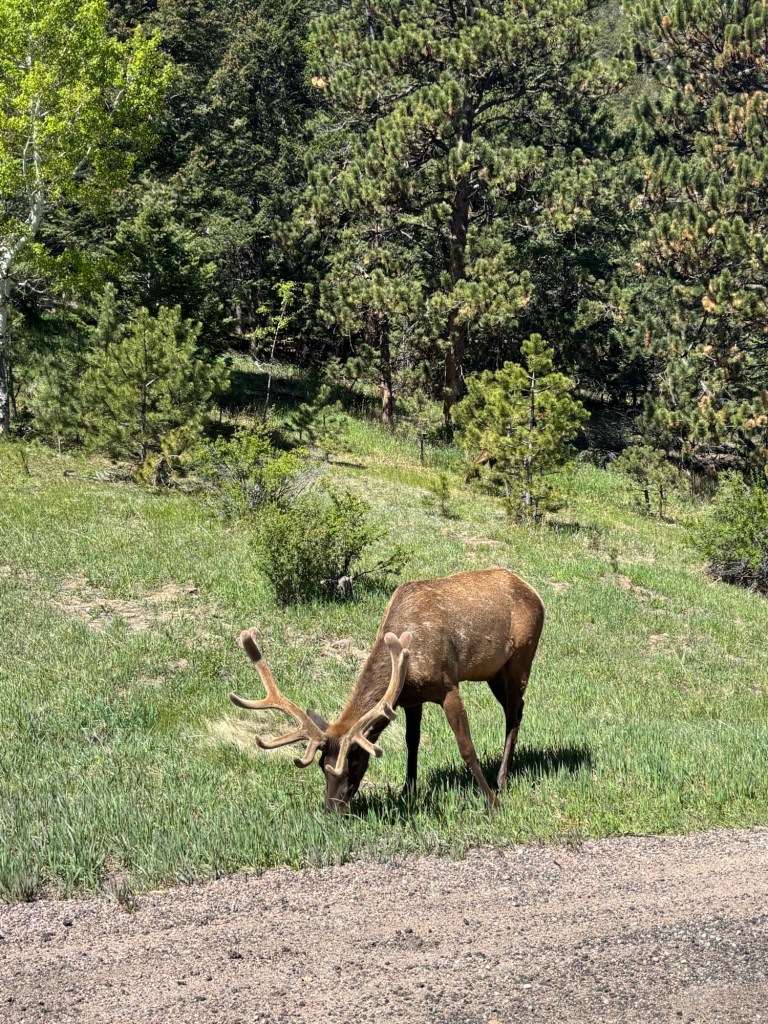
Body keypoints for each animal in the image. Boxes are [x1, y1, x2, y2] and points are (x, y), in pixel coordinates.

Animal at [229, 567, 544, 813]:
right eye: (321, 765)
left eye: (355, 764)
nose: (331, 809)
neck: (407, 669)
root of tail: (534, 592)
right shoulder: (411, 699)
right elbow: (412, 742)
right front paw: (408, 791)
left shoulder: (448, 686)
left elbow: (466, 747)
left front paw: (492, 802)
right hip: (494, 672)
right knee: (517, 707)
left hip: (521, 658)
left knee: (514, 713)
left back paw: (502, 780)